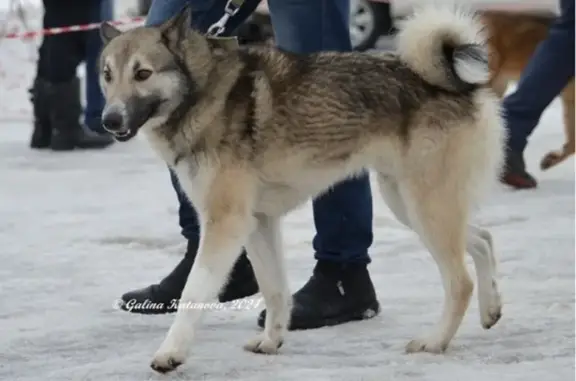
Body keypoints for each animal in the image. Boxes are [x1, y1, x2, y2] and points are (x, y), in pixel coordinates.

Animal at [98, 5, 504, 372]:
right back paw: (491, 308)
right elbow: (274, 289)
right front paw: (271, 341)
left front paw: (170, 354)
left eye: (143, 73)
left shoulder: (226, 223)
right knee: (482, 238)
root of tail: (456, 85)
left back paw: (435, 341)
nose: (109, 120)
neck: (203, 92)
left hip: (425, 206)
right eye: (106, 75)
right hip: (409, 204)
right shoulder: (257, 222)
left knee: (460, 281)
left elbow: (193, 293)